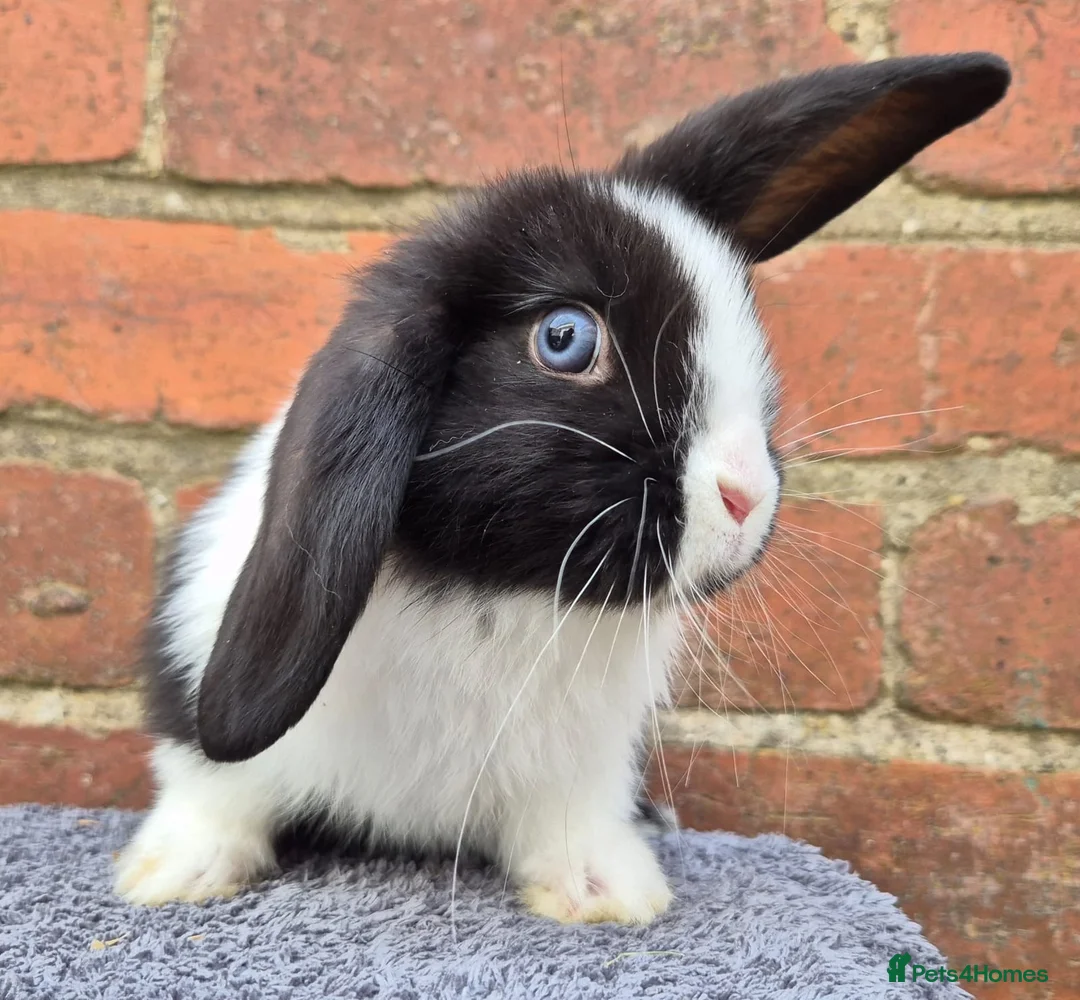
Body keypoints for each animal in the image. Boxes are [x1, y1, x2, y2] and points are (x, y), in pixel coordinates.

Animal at [115, 53, 1009, 924]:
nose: (746, 498)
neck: (491, 590)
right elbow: (215, 790)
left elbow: (572, 825)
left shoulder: (586, 767)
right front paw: (173, 874)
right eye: (565, 339)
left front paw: (611, 896)